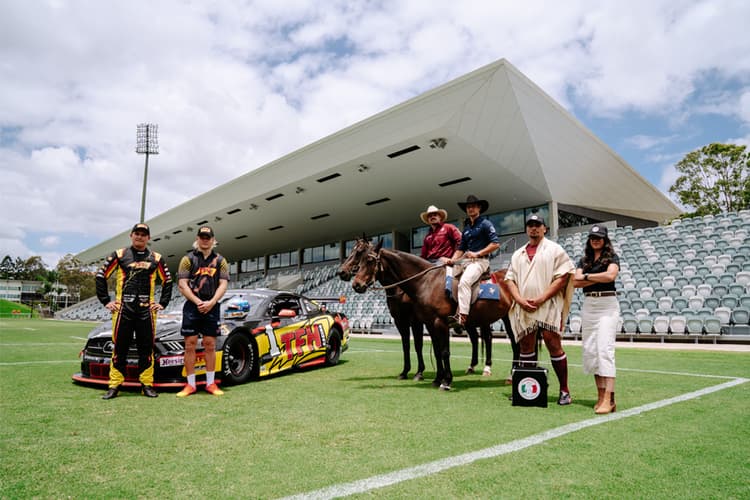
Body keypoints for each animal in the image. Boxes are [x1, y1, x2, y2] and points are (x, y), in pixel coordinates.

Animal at [340, 236, 426, 380]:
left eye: (359, 252)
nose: (341, 272)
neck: (401, 289)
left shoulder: (416, 322)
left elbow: (418, 345)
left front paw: (419, 372)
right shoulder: (400, 321)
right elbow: (405, 345)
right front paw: (405, 372)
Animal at [352, 239, 520, 390]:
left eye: (369, 260)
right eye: (360, 258)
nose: (356, 284)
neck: (426, 282)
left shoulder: (439, 323)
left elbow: (444, 351)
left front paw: (446, 381)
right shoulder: (429, 324)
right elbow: (437, 351)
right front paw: (438, 378)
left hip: (505, 320)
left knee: (511, 343)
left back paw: (507, 374)